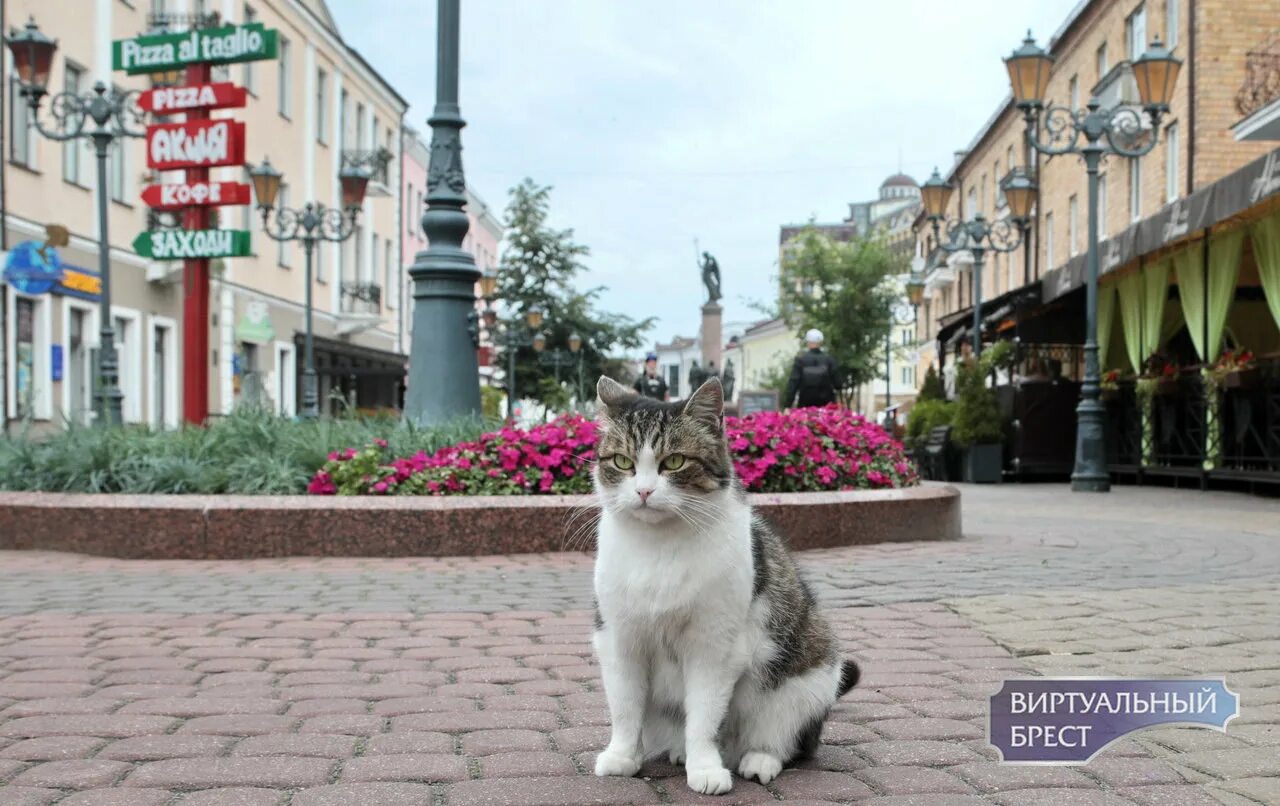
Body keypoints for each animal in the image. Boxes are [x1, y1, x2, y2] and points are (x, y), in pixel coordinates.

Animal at [588, 378, 860, 798]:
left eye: (674, 462)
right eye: (622, 462)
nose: (644, 491)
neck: (658, 546)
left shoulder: (714, 644)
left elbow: (703, 715)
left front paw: (705, 768)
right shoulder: (619, 638)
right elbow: (625, 706)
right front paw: (622, 756)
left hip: (810, 676)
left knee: (788, 739)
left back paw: (758, 759)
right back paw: (680, 752)